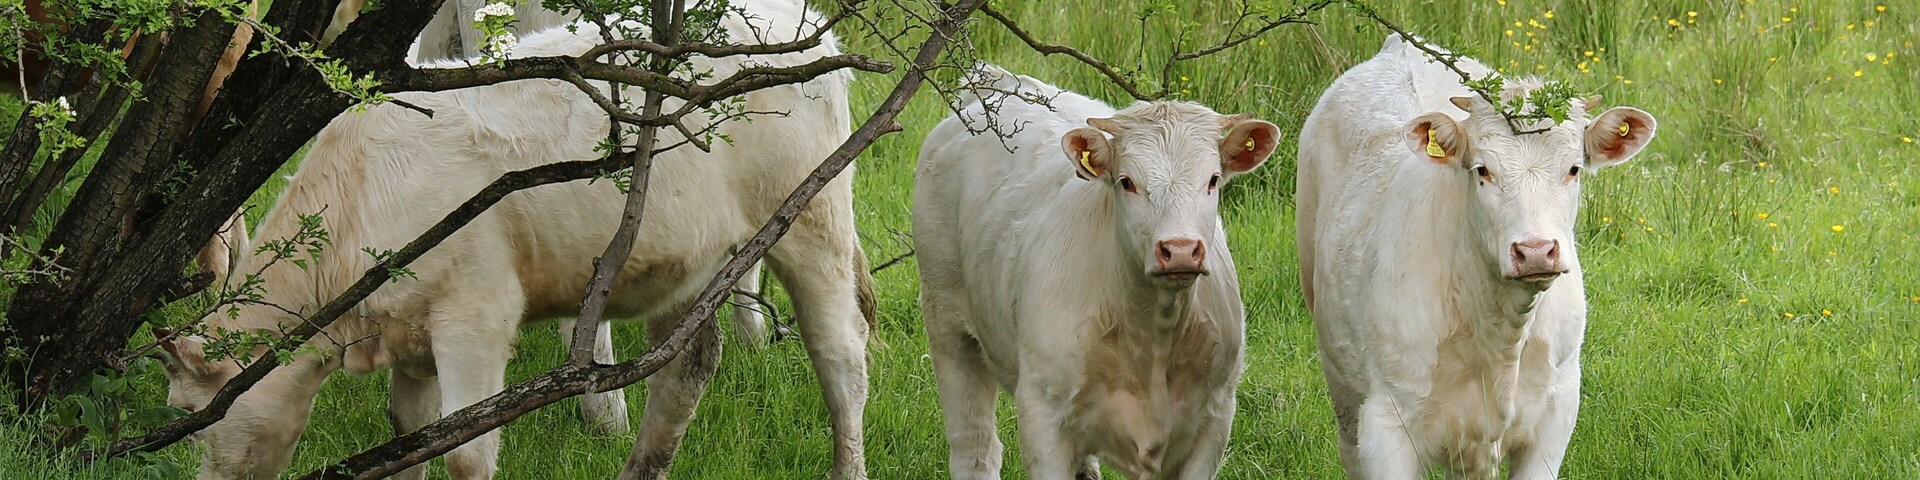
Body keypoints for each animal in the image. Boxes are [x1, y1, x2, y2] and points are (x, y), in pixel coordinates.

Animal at [155, 2, 875, 478]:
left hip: (812, 220)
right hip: (691, 253)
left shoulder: (475, 316)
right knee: (686, 369)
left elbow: (466, 450)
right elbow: (410, 436)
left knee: (840, 354)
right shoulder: (412, 337)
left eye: (194, 422)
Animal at [913, 65, 1277, 479]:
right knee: (974, 447)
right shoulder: (1042, 414)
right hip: (947, 325)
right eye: (1127, 182)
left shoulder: (1213, 420)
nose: (1181, 249)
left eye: (1213, 179)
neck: (1152, 337)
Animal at [1295, 34, 1656, 479]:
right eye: (1482, 170)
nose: (1535, 251)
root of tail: (1398, 46)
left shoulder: (1556, 412)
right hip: (1343, 385)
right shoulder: (1386, 422)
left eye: (1574, 169)